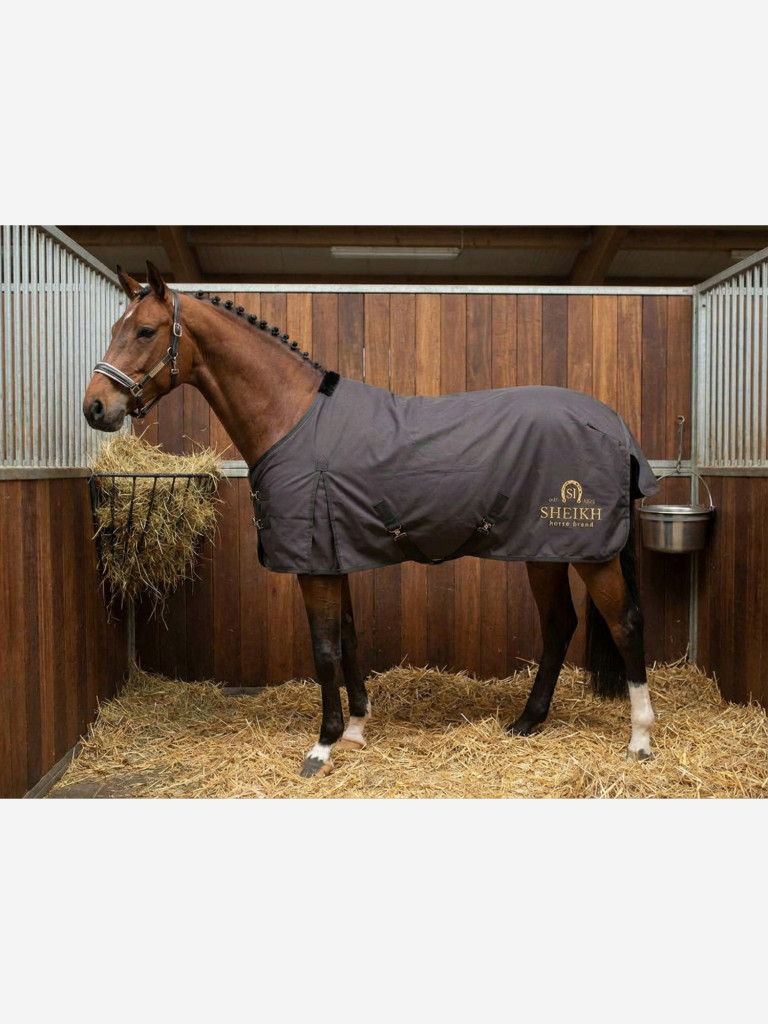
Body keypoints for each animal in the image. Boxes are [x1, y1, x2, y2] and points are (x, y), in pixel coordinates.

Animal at [83, 261, 657, 779]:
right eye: (114, 329)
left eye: (145, 330)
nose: (95, 407)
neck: (292, 416)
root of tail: (613, 425)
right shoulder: (334, 554)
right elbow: (349, 639)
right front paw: (357, 728)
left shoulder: (313, 562)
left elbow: (323, 649)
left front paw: (322, 747)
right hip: (545, 551)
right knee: (559, 624)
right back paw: (527, 722)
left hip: (589, 553)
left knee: (625, 623)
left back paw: (640, 739)